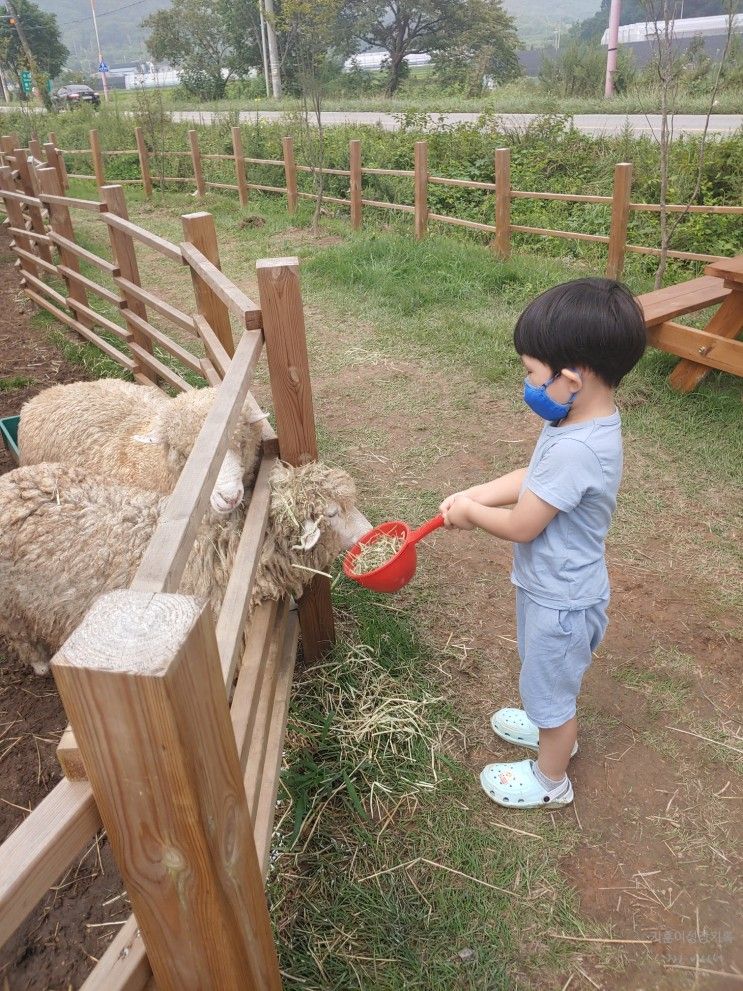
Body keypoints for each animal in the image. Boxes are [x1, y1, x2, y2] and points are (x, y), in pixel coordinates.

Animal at [0, 462, 370, 680]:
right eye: (332, 513)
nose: (369, 533)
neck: (228, 544)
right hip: (11, 605)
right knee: (19, 635)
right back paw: (40, 664)